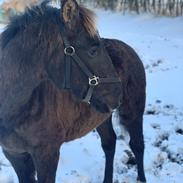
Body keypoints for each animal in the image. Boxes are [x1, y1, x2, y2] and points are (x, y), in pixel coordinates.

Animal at [0, 0, 146, 183]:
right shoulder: (15, 155)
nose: (117, 94)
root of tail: (128, 49)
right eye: (93, 50)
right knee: (109, 143)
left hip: (133, 112)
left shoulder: (47, 154)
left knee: (137, 145)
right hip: (101, 115)